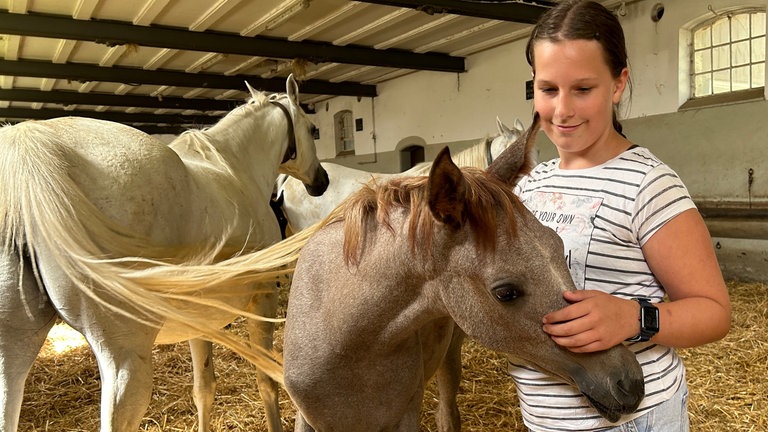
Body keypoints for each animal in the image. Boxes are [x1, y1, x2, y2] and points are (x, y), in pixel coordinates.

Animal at [0, 75, 328, 432]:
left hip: (12, 355)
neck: (235, 169)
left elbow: (204, 389)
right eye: (313, 129)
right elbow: (266, 381)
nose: (321, 182)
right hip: (125, 360)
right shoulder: (264, 298)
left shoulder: (201, 320)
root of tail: (31, 151)